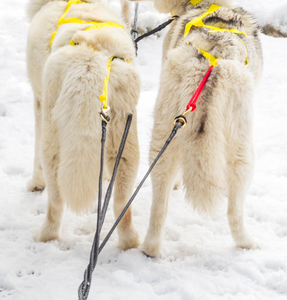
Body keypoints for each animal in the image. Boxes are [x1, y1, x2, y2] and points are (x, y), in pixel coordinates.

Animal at [26, 0, 142, 250]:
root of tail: (92, 62)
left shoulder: (39, 102)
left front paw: (35, 183)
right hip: (126, 143)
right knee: (122, 205)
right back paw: (129, 242)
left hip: (53, 148)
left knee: (56, 203)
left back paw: (44, 235)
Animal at [129, 0, 264, 258]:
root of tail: (213, 61)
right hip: (243, 151)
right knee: (234, 210)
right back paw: (247, 243)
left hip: (165, 129)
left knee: (159, 202)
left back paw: (151, 248)